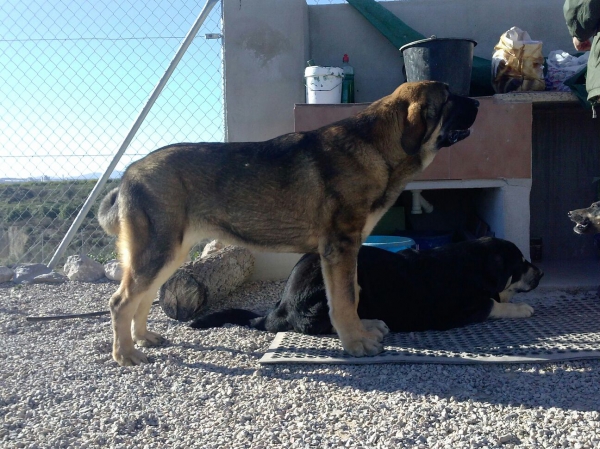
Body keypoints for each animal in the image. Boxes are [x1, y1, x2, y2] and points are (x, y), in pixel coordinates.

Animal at [97, 82, 478, 366]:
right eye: (448, 98)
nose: (477, 101)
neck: (378, 146)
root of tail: (130, 172)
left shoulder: (344, 252)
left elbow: (352, 294)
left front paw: (360, 330)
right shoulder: (339, 248)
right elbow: (343, 300)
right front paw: (355, 342)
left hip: (168, 254)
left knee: (143, 298)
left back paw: (143, 338)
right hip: (157, 252)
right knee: (121, 302)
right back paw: (126, 354)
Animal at [191, 236, 544, 334]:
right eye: (521, 263)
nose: (541, 274)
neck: (472, 263)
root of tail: (282, 305)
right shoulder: (462, 309)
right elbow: (496, 303)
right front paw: (522, 308)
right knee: (325, 323)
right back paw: (372, 324)